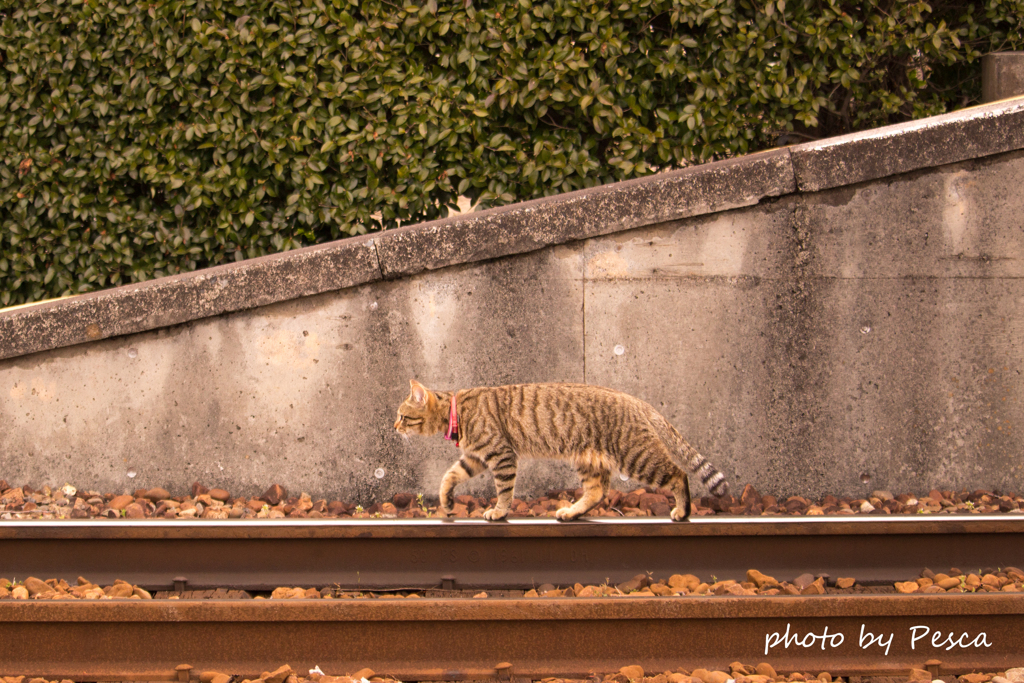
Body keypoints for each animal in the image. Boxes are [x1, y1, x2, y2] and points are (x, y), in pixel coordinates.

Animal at [391, 378, 729, 524]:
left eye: (402, 416)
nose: (394, 427)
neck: (457, 410)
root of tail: (636, 401)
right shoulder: (475, 459)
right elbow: (448, 477)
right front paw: (447, 503)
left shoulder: (502, 456)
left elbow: (504, 491)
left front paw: (499, 512)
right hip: (589, 460)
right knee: (597, 491)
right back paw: (572, 511)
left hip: (637, 457)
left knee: (678, 473)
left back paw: (683, 511)